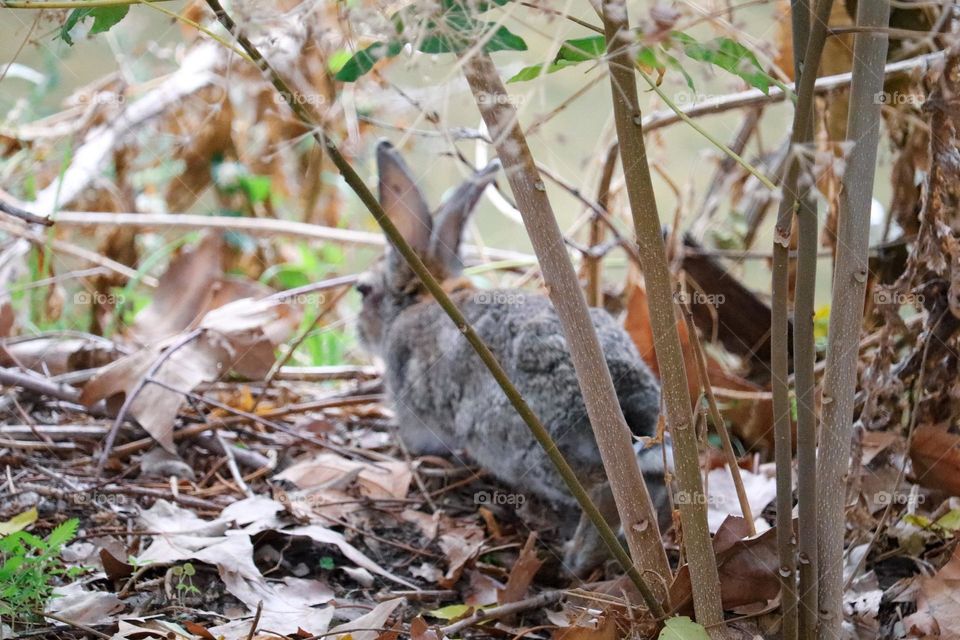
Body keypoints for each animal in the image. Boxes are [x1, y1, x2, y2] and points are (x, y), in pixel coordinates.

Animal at [354, 142, 668, 576]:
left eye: (363, 291)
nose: (357, 331)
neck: (421, 297)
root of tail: (624, 382)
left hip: (537, 449)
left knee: (604, 489)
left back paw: (577, 560)